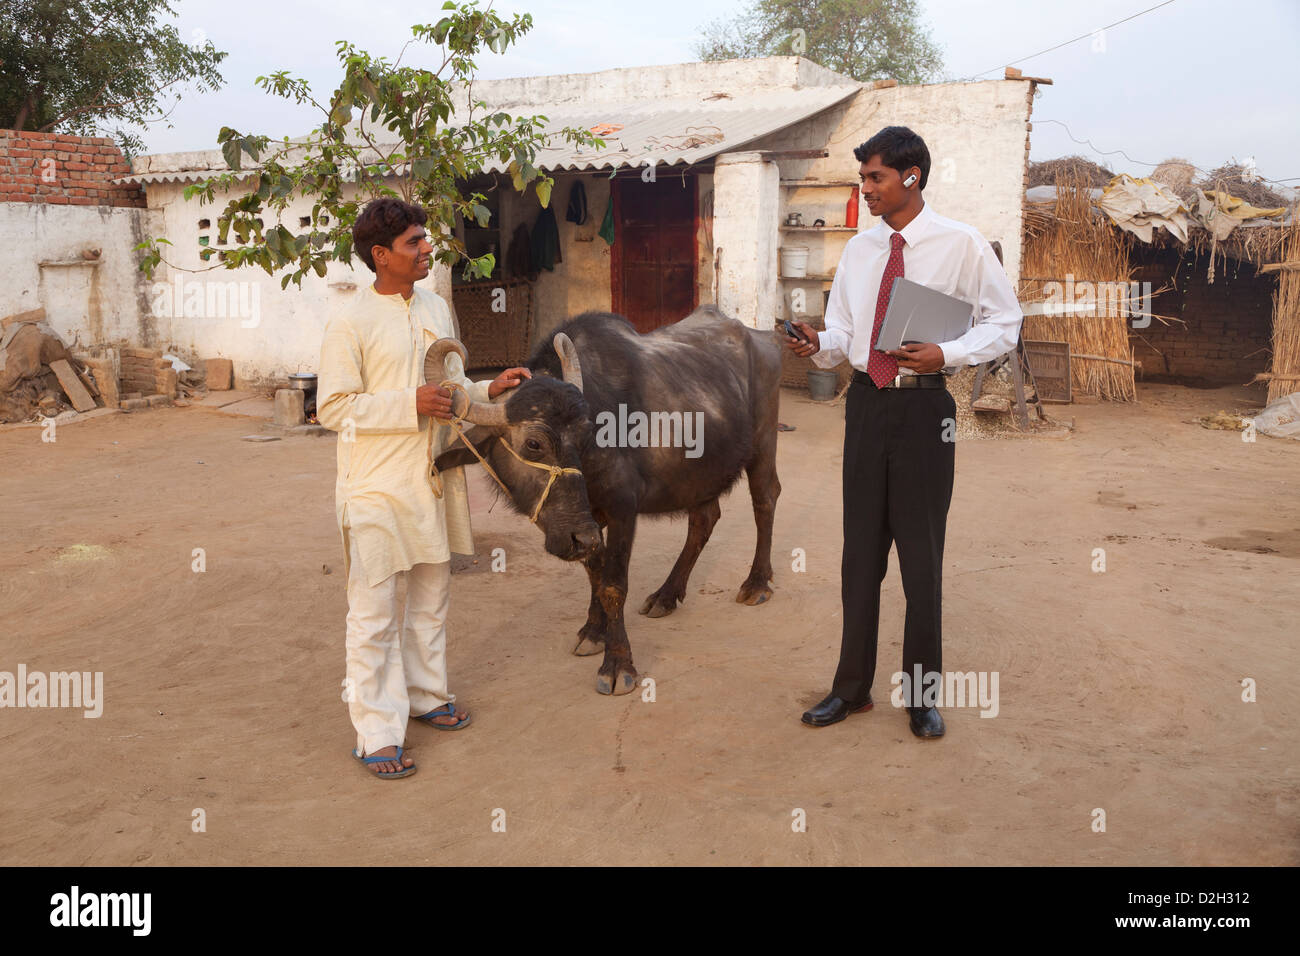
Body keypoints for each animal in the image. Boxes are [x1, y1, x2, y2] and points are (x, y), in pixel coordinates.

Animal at [428, 306, 780, 697]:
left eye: (585, 436)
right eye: (534, 443)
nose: (579, 536)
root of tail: (761, 337)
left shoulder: (621, 510)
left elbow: (613, 584)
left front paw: (618, 664)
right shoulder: (586, 524)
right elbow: (594, 575)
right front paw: (593, 632)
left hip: (763, 444)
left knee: (765, 500)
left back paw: (757, 584)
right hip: (700, 474)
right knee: (704, 520)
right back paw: (666, 595)